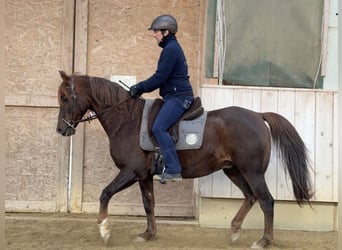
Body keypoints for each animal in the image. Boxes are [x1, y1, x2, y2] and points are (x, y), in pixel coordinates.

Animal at [55, 71, 312, 250]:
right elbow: (149, 204)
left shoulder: (130, 172)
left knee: (266, 201)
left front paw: (105, 230)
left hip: (252, 172)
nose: (61, 129)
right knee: (250, 197)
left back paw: (264, 240)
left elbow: (105, 193)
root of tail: (258, 115)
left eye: (65, 98)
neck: (128, 121)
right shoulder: (144, 176)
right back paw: (235, 229)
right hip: (234, 170)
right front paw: (148, 234)